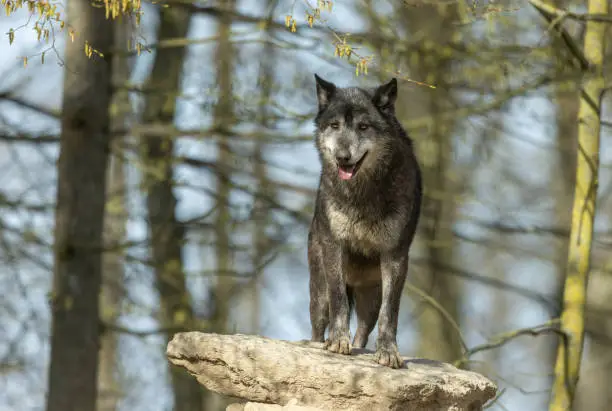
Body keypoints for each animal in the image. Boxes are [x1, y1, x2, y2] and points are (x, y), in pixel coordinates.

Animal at [306, 74, 420, 370]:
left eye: (364, 126)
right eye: (334, 126)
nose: (342, 157)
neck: (362, 194)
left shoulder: (395, 256)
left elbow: (390, 313)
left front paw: (389, 353)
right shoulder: (334, 247)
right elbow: (339, 302)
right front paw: (337, 342)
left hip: (370, 296)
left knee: (364, 331)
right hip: (318, 291)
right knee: (317, 327)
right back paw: (322, 342)